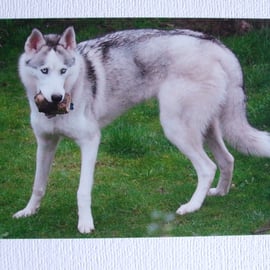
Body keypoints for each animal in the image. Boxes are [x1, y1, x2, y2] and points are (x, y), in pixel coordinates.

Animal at [13, 26, 270, 233]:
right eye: (44, 70)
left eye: (64, 71)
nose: (57, 97)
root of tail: (218, 46)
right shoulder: (45, 144)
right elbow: (38, 185)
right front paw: (29, 211)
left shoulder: (90, 142)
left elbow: (82, 190)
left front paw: (85, 224)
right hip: (207, 131)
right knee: (227, 160)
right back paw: (220, 192)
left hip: (176, 129)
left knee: (208, 167)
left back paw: (192, 206)